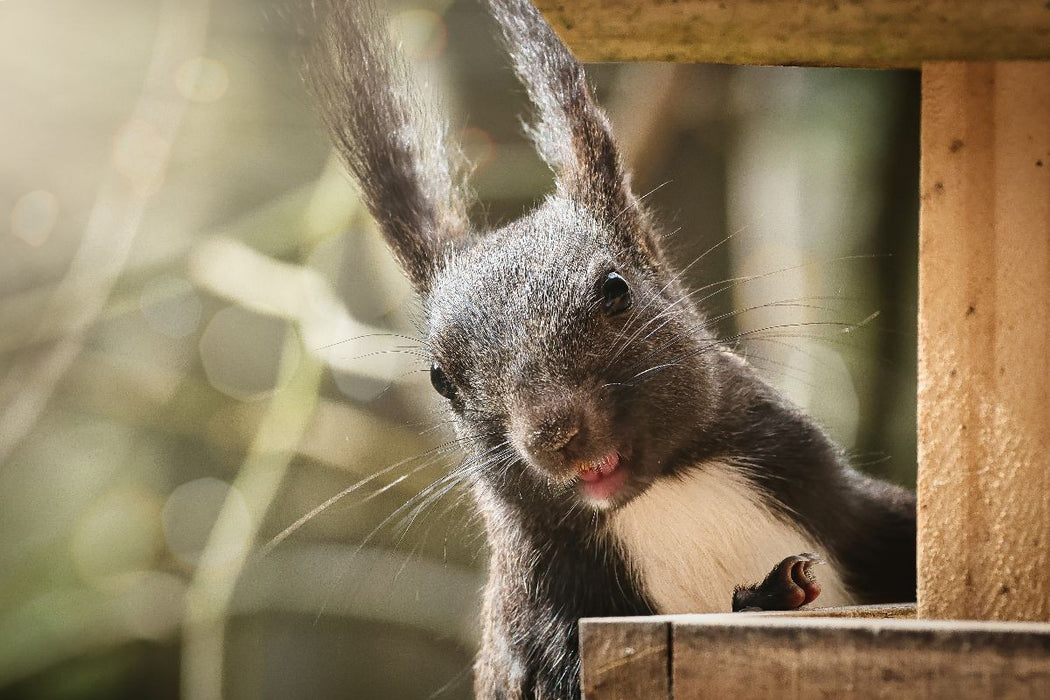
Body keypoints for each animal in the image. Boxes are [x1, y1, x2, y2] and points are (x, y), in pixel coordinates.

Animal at [301, 0, 917, 697]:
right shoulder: (542, 631)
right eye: (439, 378)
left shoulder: (842, 500)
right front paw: (765, 596)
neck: (664, 497)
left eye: (616, 290)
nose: (554, 434)